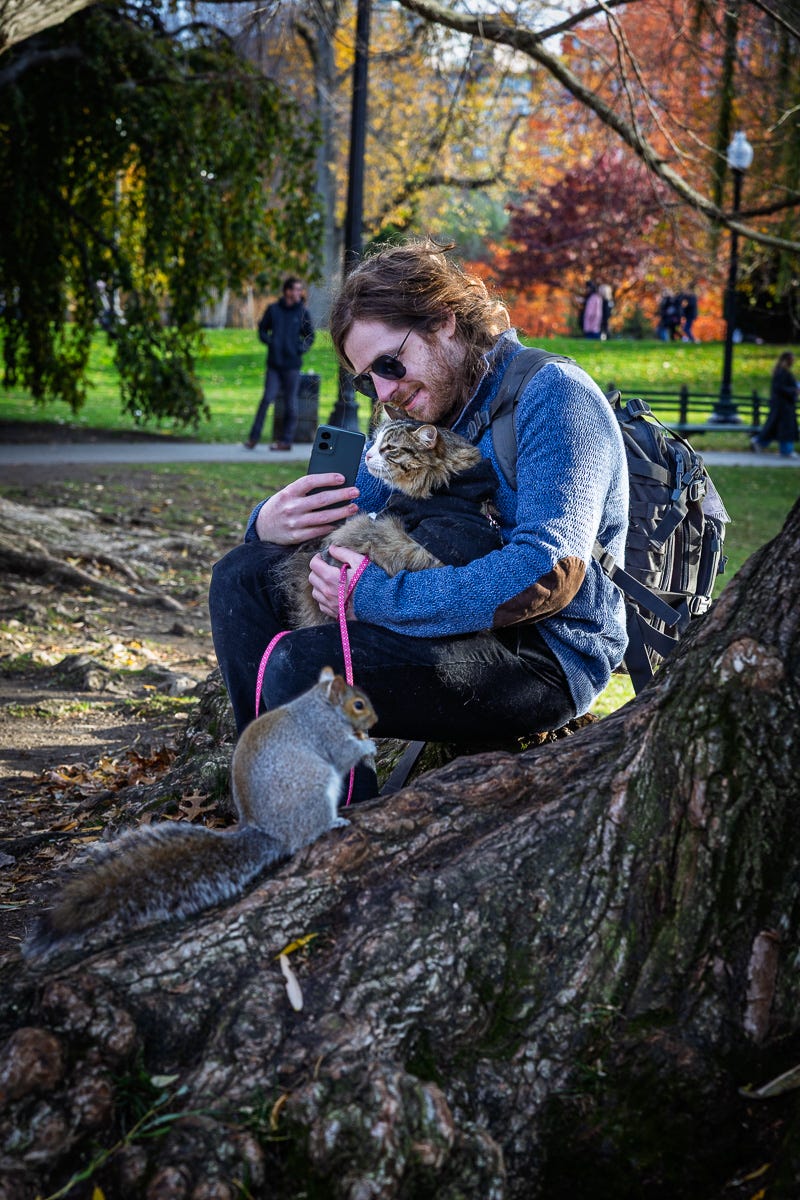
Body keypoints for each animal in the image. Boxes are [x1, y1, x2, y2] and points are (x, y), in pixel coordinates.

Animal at [23, 667, 377, 964]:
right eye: (359, 704)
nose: (375, 720)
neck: (321, 706)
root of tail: (268, 833)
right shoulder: (326, 734)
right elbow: (343, 752)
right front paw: (367, 747)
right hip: (314, 790)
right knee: (306, 834)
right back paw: (332, 821)